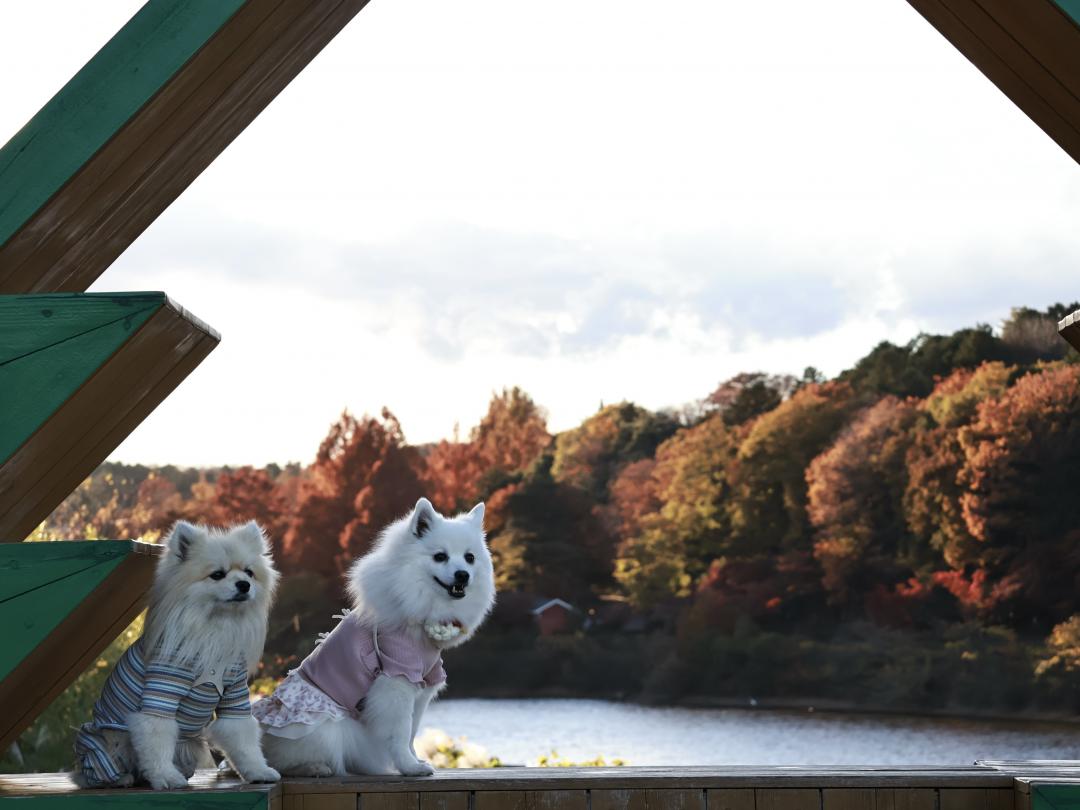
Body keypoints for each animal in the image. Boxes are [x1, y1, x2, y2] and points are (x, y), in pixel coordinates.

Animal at [73, 522, 280, 790]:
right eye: (217, 575)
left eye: (249, 573)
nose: (244, 584)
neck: (216, 628)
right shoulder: (161, 695)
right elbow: (157, 740)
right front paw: (166, 777)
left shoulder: (234, 697)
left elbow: (244, 742)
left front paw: (258, 771)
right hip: (107, 742)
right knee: (94, 773)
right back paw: (122, 778)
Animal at [257, 498, 496, 777]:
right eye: (440, 556)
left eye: (469, 558)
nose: (462, 574)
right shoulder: (396, 680)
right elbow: (400, 733)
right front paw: (409, 767)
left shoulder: (423, 682)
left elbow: (412, 731)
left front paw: (416, 761)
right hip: (325, 725)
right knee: (283, 760)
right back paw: (312, 767)